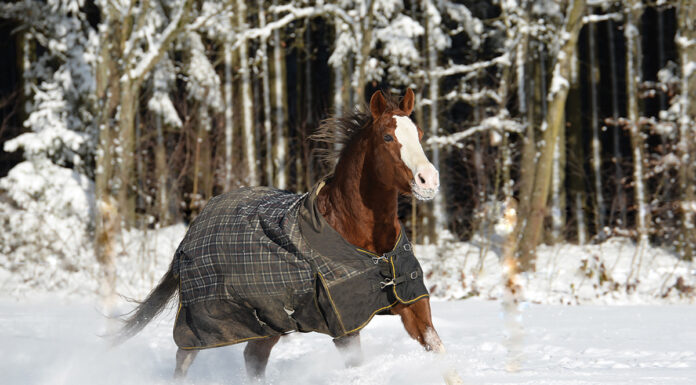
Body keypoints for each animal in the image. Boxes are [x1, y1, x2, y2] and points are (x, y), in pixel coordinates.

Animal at [118, 88, 462, 382]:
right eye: (388, 136)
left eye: (418, 134)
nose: (429, 180)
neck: (367, 246)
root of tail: (193, 228)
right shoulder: (345, 327)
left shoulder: (413, 306)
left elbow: (442, 356)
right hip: (202, 323)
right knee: (184, 360)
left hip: (267, 321)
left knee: (253, 358)